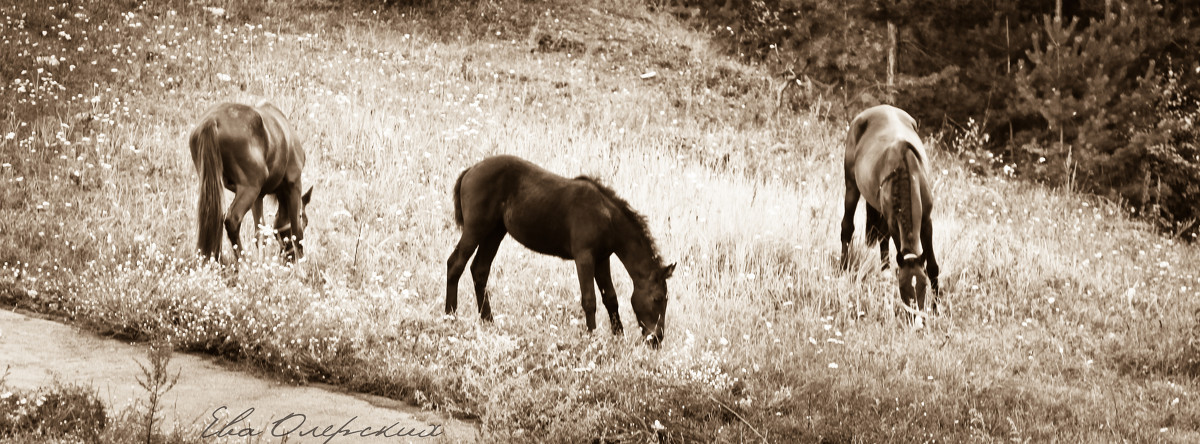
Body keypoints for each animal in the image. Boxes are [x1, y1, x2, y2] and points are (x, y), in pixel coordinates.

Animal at [189, 100, 312, 264]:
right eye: (306, 222)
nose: (289, 258)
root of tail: (212, 120)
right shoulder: (294, 185)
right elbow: (295, 231)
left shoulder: (258, 197)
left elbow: (260, 233)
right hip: (249, 188)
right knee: (232, 220)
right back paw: (243, 263)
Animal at [448, 156, 676, 348]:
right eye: (658, 298)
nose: (657, 339)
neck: (607, 217)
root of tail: (471, 170)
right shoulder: (584, 256)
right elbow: (590, 299)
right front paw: (592, 338)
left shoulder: (602, 259)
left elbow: (610, 297)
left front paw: (618, 337)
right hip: (476, 230)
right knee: (455, 264)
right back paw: (450, 316)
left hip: (494, 233)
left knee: (480, 270)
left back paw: (488, 321)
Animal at [840, 104, 940, 314]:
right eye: (903, 287)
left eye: (923, 285)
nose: (915, 317)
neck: (906, 171)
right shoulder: (894, 223)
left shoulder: (927, 222)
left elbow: (933, 267)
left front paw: (937, 309)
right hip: (852, 185)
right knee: (847, 228)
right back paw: (843, 270)